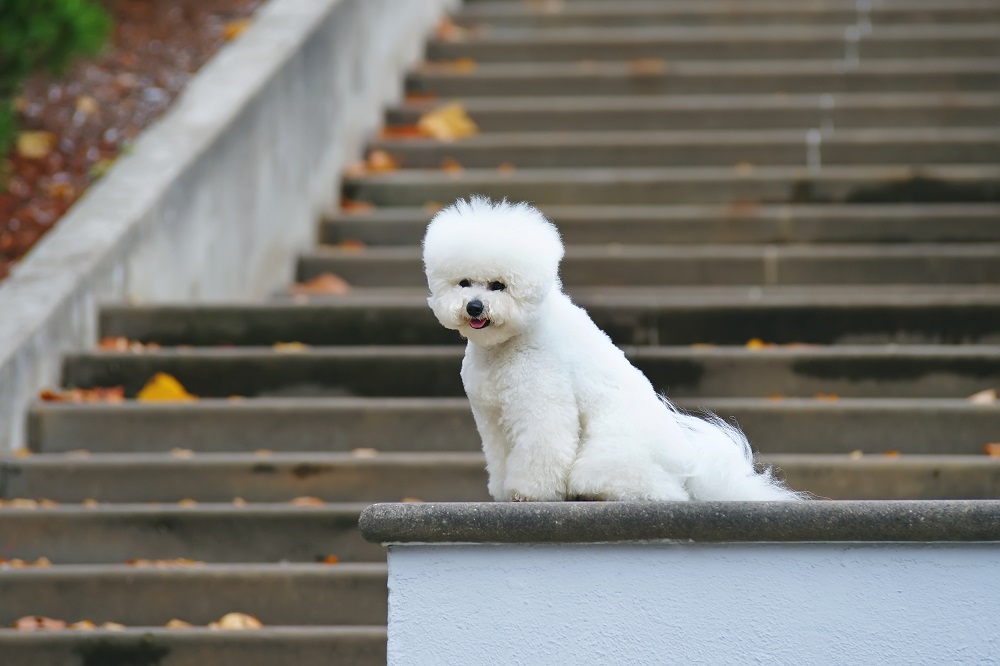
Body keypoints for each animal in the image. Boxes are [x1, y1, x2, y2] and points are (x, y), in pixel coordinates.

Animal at [422, 196, 804, 498]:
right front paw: (504, 490)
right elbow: (500, 456)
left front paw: (529, 493)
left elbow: (543, 449)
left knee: (657, 490)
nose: (474, 307)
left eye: (498, 285)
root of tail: (688, 471)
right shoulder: (491, 416)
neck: (510, 340)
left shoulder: (542, 404)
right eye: (463, 283)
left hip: (608, 454)